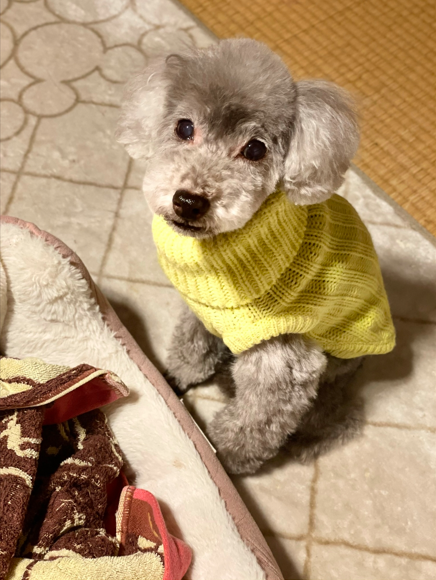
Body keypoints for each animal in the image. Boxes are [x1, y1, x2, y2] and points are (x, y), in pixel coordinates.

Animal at [116, 39, 395, 474]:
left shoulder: (283, 365)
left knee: (335, 420)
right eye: (184, 127)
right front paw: (175, 381)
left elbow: (253, 424)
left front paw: (223, 459)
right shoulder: (205, 313)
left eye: (254, 149)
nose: (189, 201)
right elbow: (191, 350)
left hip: (334, 375)